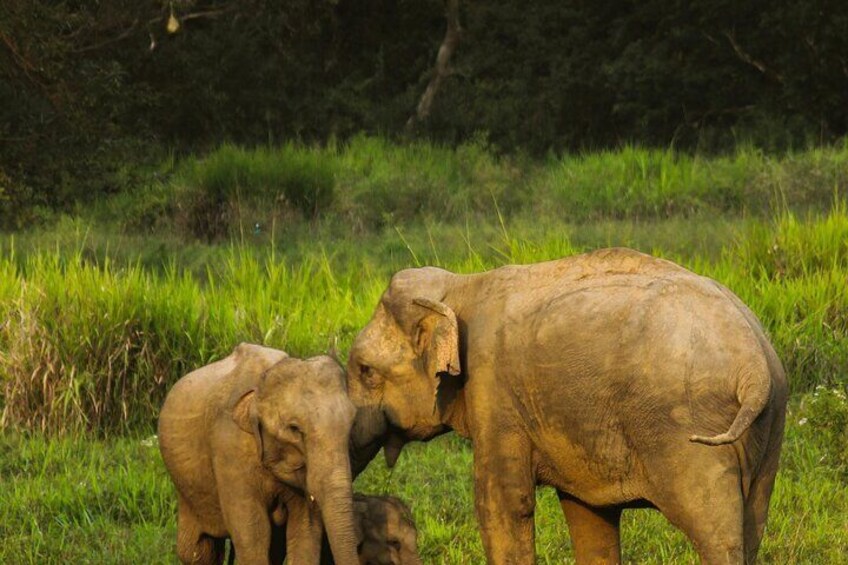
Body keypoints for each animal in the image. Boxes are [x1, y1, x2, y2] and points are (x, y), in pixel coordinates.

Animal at [158, 344, 358, 564]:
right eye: (294, 429)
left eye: (352, 425)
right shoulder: (229, 446)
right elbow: (254, 535)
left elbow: (305, 532)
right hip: (186, 490)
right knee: (197, 550)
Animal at [344, 248, 788, 564]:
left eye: (365, 371)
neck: (459, 286)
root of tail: (754, 365)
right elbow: (587, 514)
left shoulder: (493, 390)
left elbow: (502, 503)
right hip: (770, 427)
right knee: (752, 525)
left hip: (686, 430)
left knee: (716, 533)